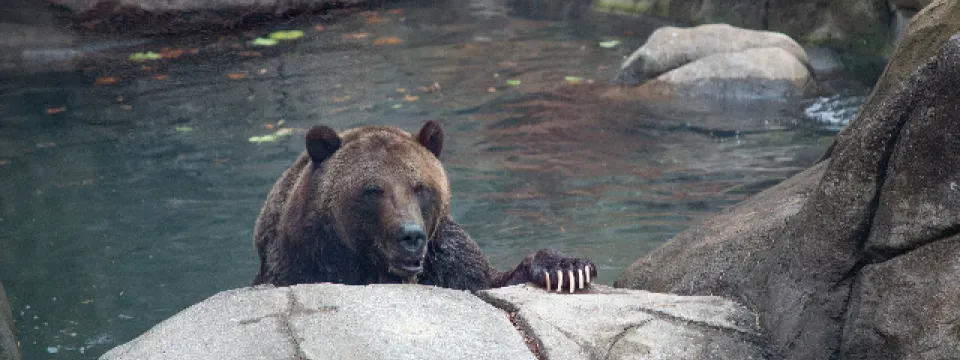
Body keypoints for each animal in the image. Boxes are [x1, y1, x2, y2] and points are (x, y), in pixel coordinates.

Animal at [251, 121, 596, 292]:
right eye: (373, 190)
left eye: (420, 187)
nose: (411, 236)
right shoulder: (304, 260)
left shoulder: (445, 257)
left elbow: (488, 278)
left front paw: (567, 269)